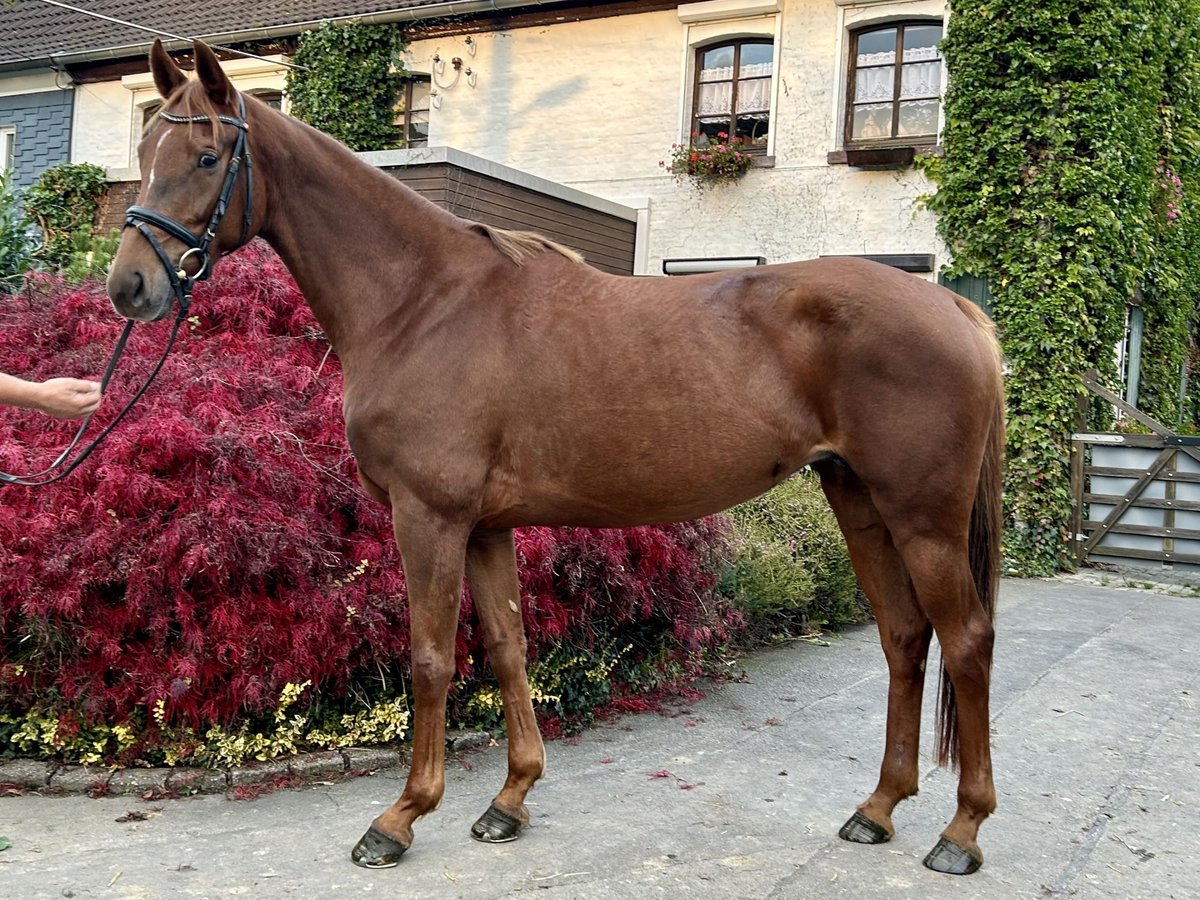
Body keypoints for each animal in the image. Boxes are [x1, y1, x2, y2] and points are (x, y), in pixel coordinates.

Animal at [105, 40, 1003, 873]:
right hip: (859, 500)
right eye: (144, 149)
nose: (129, 288)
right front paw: (509, 799)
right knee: (903, 636)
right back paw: (877, 810)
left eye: (207, 157)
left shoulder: (430, 517)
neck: (423, 302)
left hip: (922, 517)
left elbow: (430, 660)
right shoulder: (485, 526)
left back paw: (960, 832)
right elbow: (507, 648)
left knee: (965, 640)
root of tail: (955, 310)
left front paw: (400, 817)